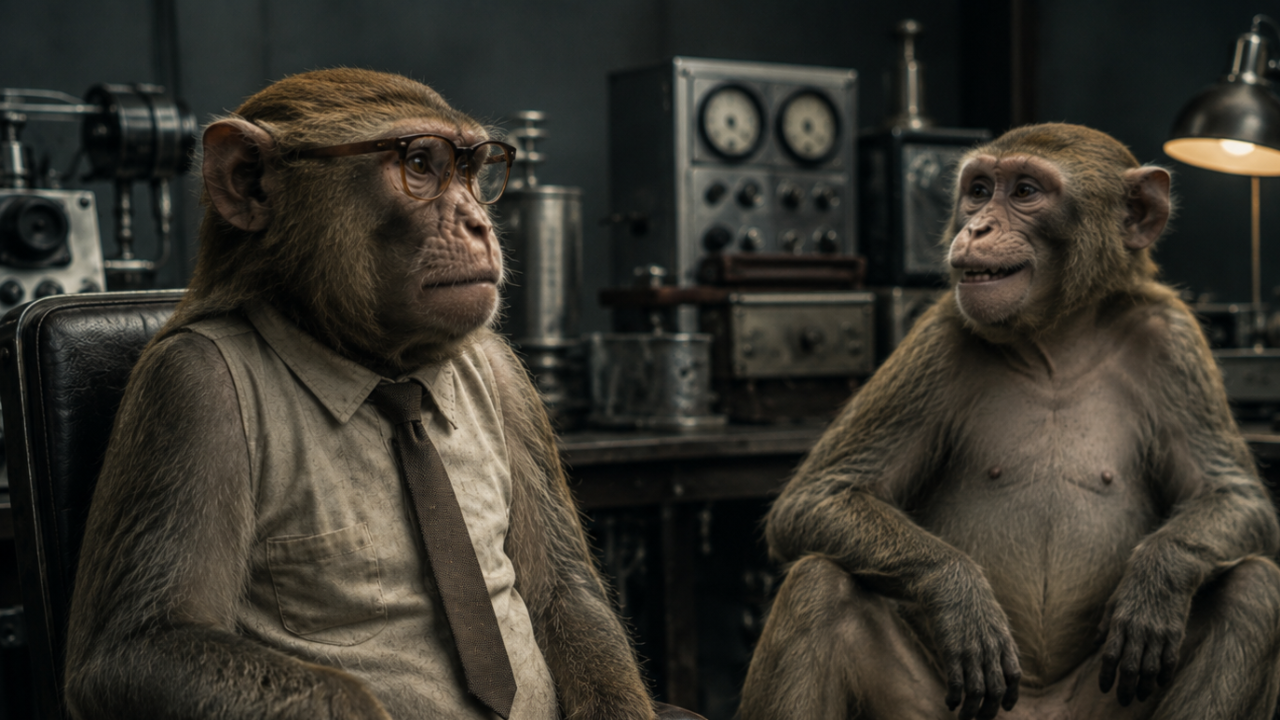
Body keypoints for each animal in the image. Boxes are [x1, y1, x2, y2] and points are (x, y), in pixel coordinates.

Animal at [62, 69, 700, 720]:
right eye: (421, 163)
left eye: (479, 171)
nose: (478, 223)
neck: (382, 375)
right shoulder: (189, 392)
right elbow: (143, 647)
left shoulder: (508, 379)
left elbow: (562, 590)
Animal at [738, 123, 1280, 720]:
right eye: (978, 191)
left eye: (1024, 192)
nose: (978, 226)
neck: (1056, 341)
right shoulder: (937, 340)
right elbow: (820, 495)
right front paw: (957, 592)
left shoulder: (1174, 339)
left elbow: (1233, 496)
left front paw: (1158, 580)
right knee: (819, 585)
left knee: (1253, 592)